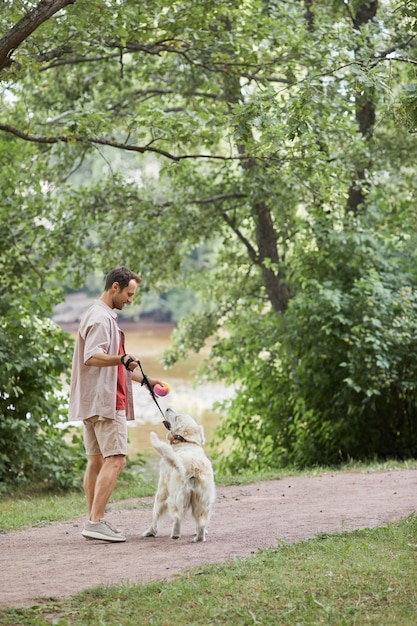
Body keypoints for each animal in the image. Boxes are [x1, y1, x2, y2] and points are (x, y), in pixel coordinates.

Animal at [142, 408, 214, 540]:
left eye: (176, 417)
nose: (167, 408)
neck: (186, 441)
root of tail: (192, 467)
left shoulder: (162, 491)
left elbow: (156, 516)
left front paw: (150, 532)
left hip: (175, 498)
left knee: (177, 517)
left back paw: (175, 534)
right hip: (202, 502)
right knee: (201, 522)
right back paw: (198, 538)